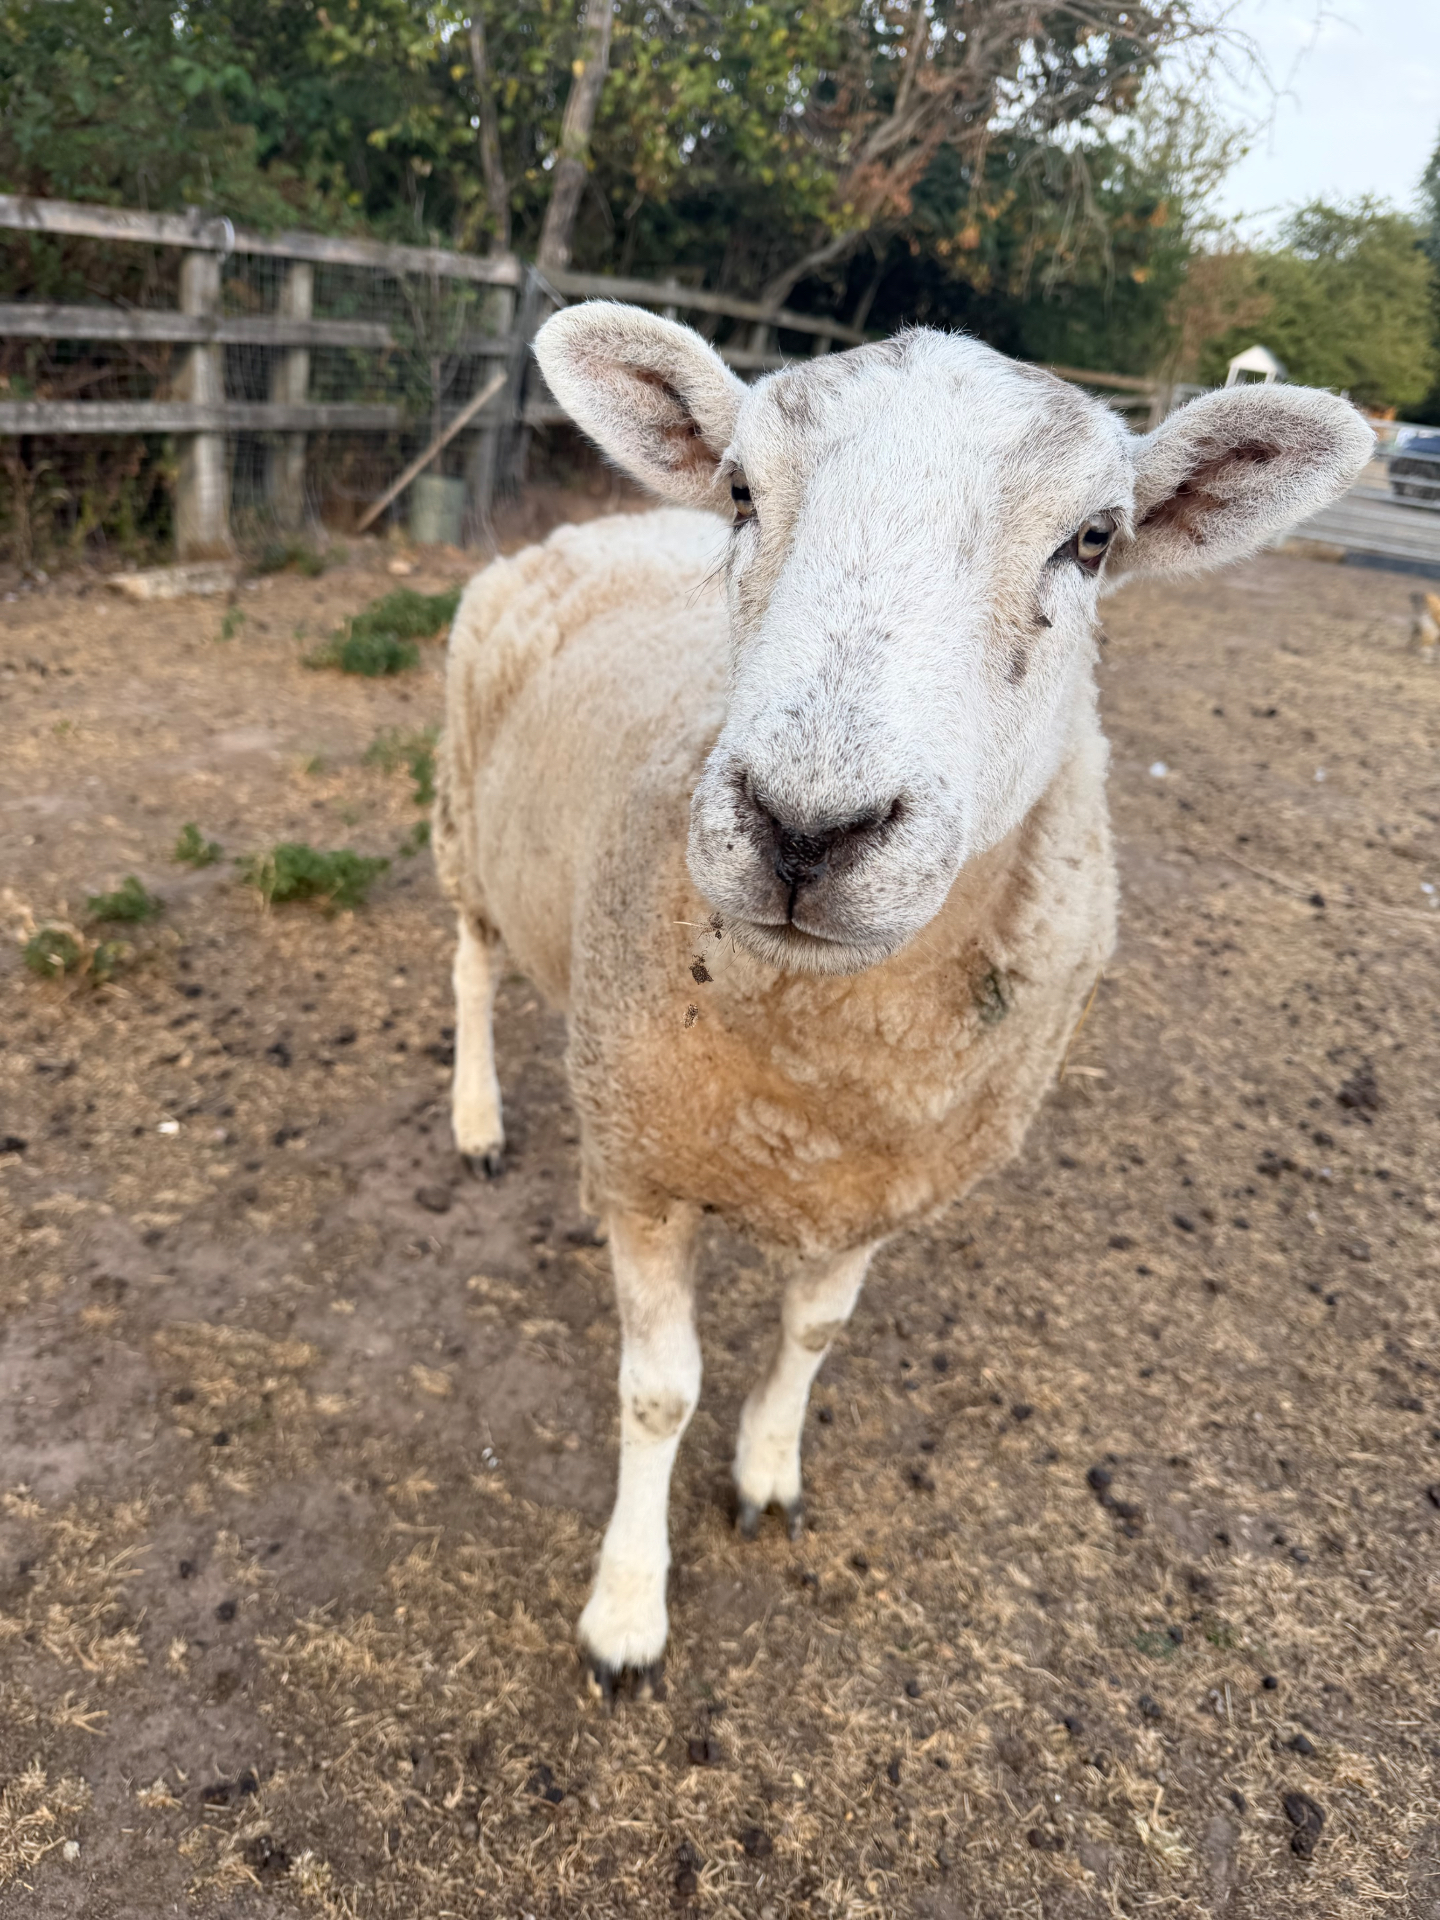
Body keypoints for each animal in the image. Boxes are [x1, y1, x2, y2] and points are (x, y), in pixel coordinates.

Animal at [433, 304, 1372, 1699]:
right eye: (742, 491)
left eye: (1096, 539)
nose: (806, 829)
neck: (817, 1080)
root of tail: (602, 523)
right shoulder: (651, 1173)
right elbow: (659, 1396)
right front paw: (626, 1609)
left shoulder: (885, 1177)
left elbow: (815, 1336)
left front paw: (769, 1473)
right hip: (464, 825)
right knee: (470, 968)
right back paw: (479, 1119)